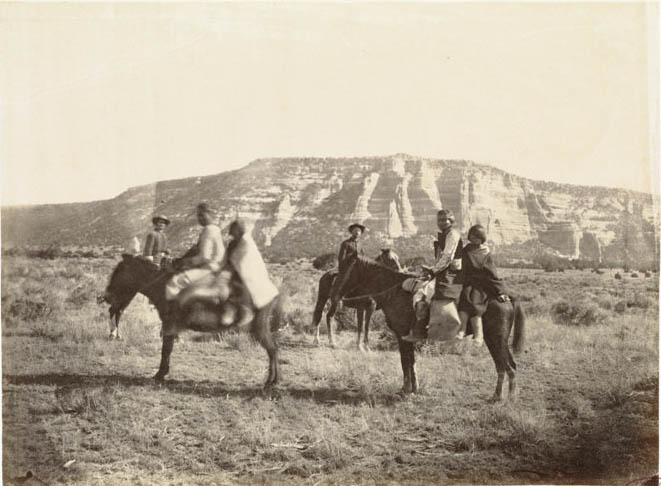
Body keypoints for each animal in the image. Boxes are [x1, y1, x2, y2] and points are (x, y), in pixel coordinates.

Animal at [102, 254, 282, 388]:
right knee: (273, 349)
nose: (107, 297)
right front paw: (163, 373)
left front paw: (159, 374)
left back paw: (271, 381)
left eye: (119, 272)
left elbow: (165, 350)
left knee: (272, 349)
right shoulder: (171, 327)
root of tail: (272, 289)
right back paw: (272, 380)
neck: (163, 286)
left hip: (259, 326)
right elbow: (168, 349)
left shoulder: (169, 324)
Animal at [332, 256, 524, 400]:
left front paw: (406, 390)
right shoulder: (406, 338)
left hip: (497, 339)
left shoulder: (402, 336)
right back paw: (500, 396)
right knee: (506, 365)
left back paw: (505, 398)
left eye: (346, 269)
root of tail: (506, 297)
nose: (336, 295)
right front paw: (413, 388)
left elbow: (405, 362)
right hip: (495, 340)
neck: (395, 292)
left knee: (506, 366)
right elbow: (411, 362)